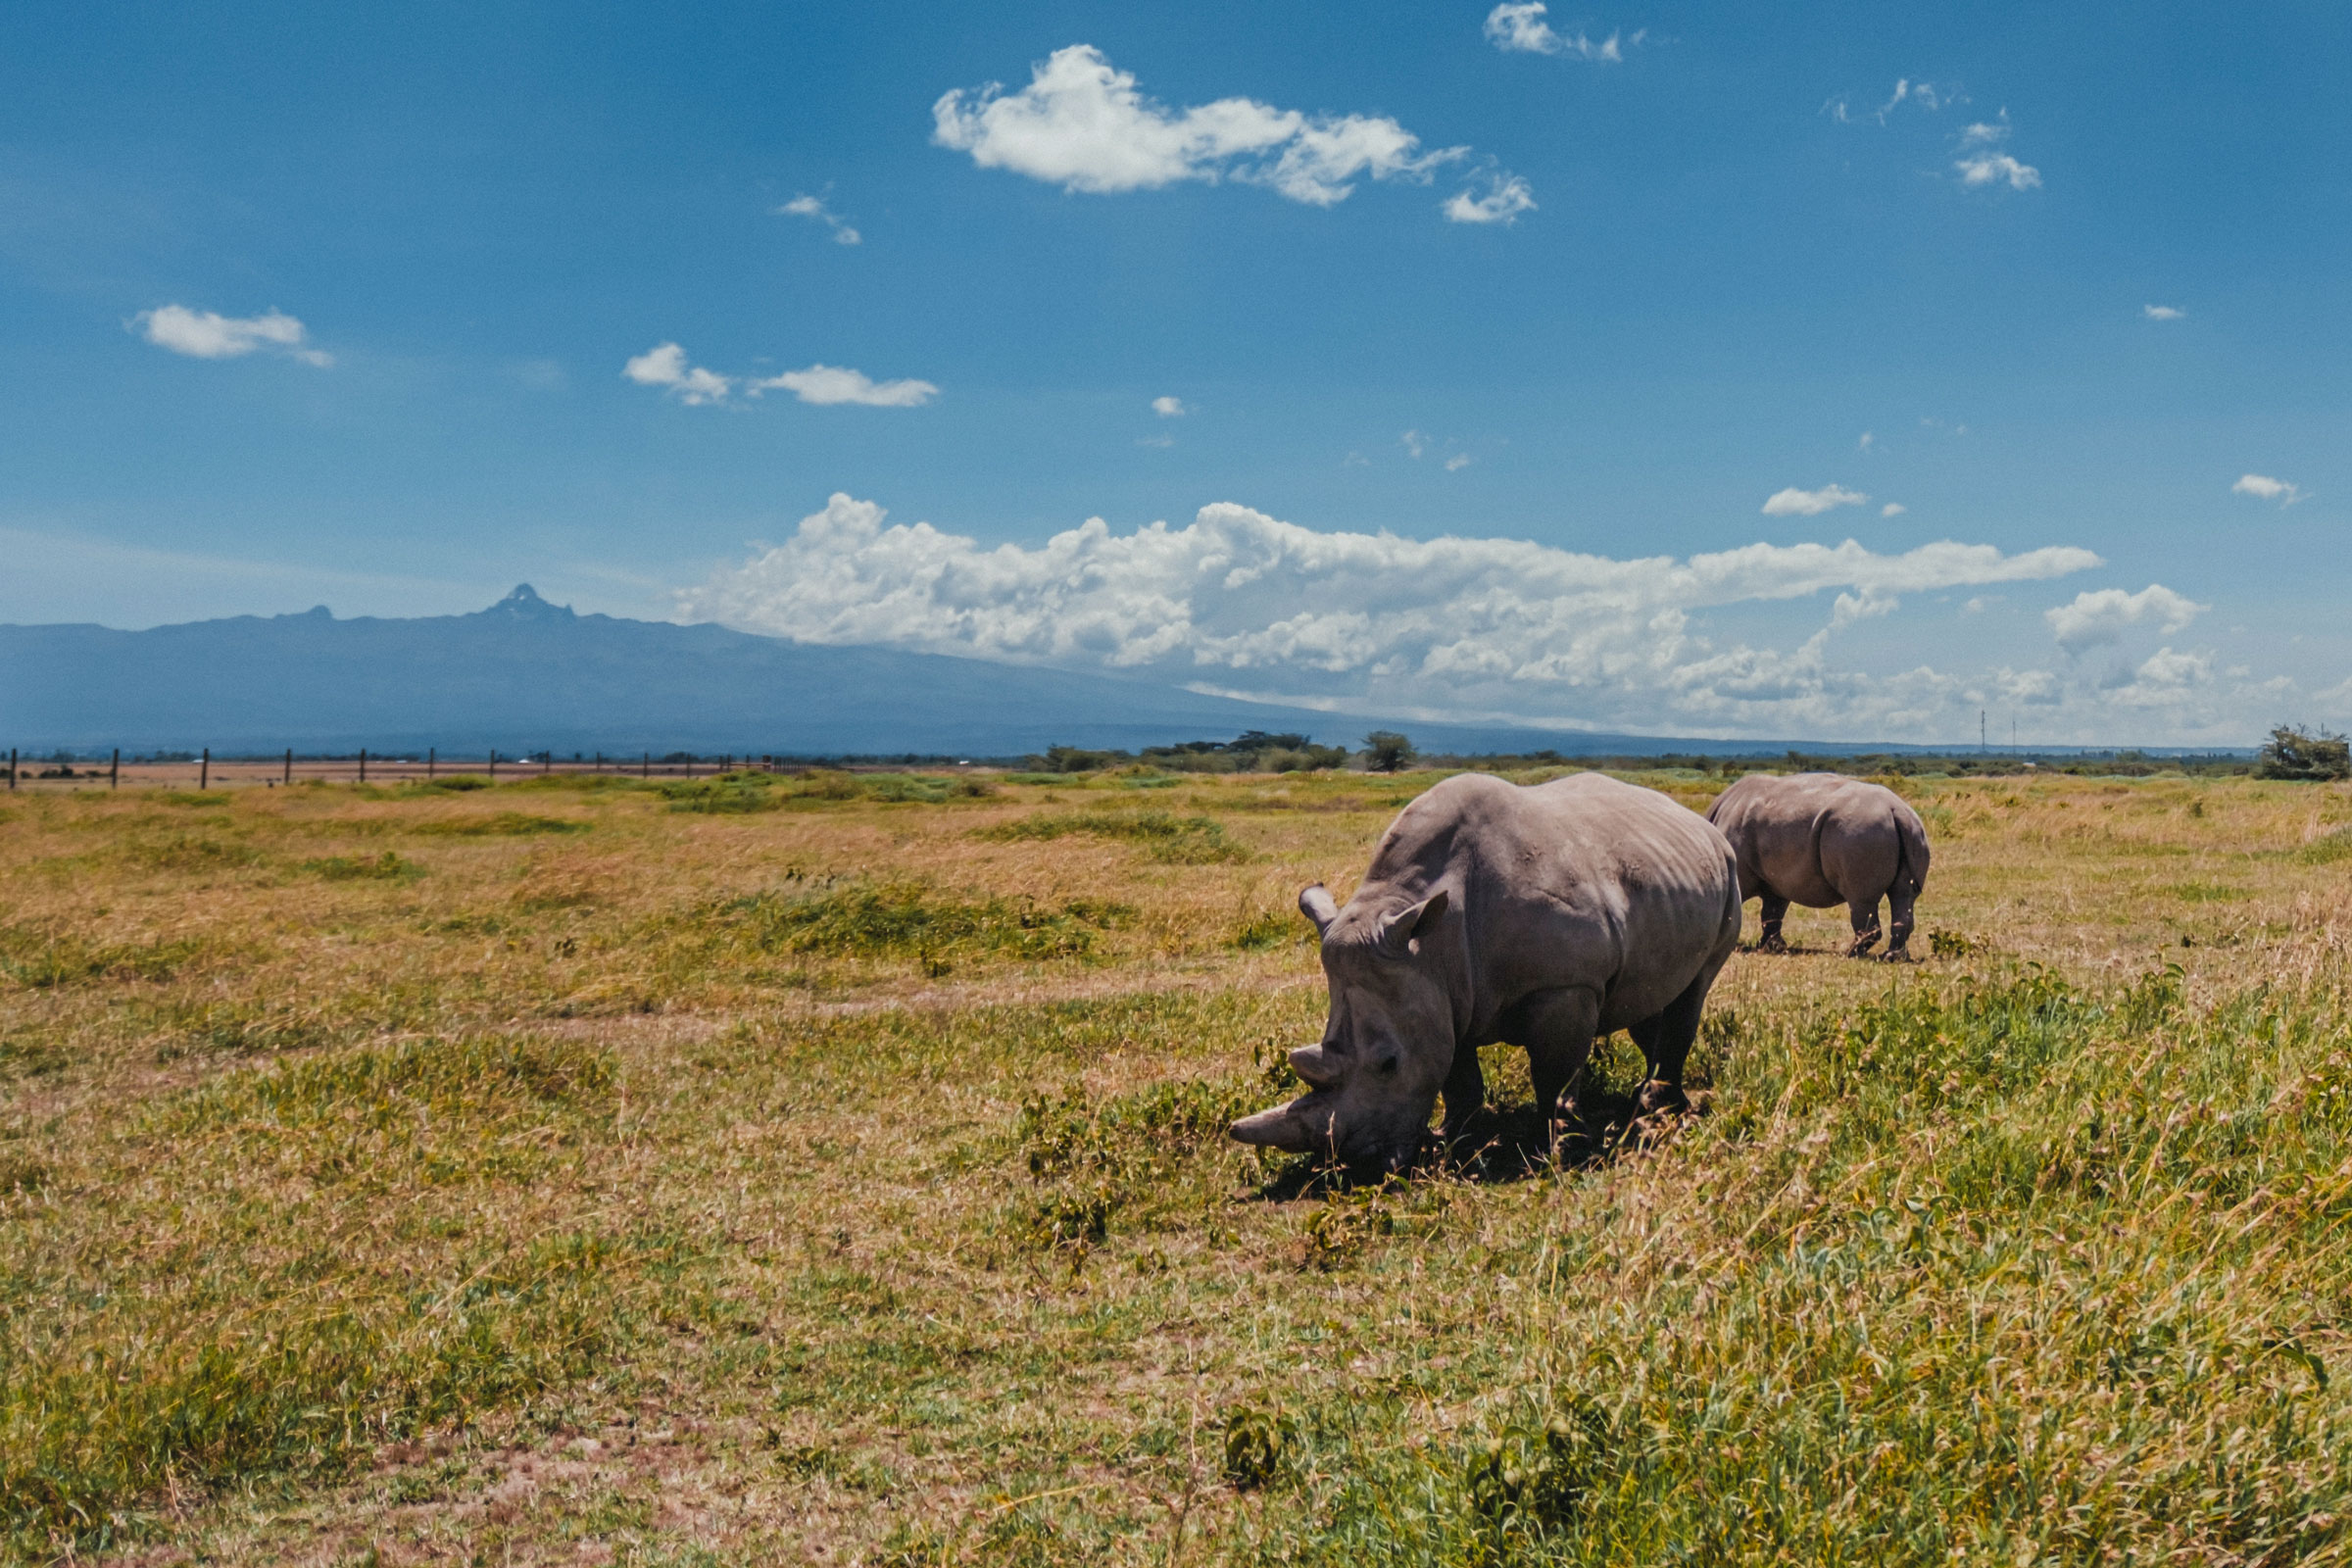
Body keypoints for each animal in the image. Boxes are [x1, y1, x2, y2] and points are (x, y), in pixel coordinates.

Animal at [1228, 772, 1742, 1174]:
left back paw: (1660, 1109)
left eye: (1388, 1063)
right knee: (1652, 994)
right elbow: (1456, 1077)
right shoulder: (1442, 990)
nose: (1360, 1165)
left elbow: (1554, 1075)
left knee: (1693, 992)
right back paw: (1647, 1101)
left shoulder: (1565, 984)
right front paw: (1450, 1140)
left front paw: (1559, 1146)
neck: (1429, 940)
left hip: (1729, 871)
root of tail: (1700, 823)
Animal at [1703, 773, 1930, 959]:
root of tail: (1897, 811)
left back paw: (1850, 953)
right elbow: (1772, 911)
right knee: (1903, 894)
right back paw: (1892, 957)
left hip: (1861, 832)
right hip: (1912, 831)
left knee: (1860, 899)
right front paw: (1772, 946)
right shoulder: (1778, 879)